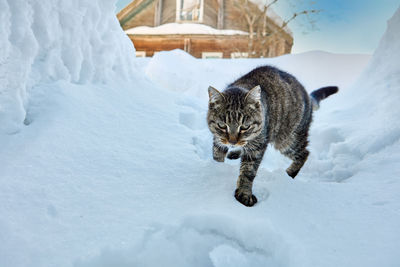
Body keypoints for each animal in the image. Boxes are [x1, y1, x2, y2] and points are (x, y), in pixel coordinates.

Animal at [206, 66, 338, 208]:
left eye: (245, 127)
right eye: (222, 126)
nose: (232, 142)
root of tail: (307, 94)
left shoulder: (257, 147)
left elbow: (248, 172)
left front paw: (244, 193)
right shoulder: (218, 140)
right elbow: (217, 155)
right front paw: (217, 169)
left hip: (287, 140)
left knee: (304, 153)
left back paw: (289, 173)